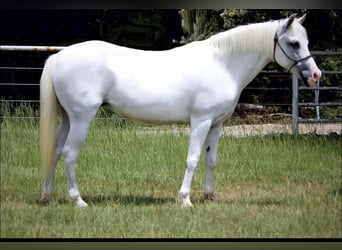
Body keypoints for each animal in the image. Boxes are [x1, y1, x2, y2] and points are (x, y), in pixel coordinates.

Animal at [40, 14, 320, 208]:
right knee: (69, 154)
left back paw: (49, 197)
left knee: (55, 151)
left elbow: (211, 160)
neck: (223, 64)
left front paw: (210, 196)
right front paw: (185, 199)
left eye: (306, 41)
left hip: (67, 119)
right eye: (294, 43)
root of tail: (59, 57)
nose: (316, 75)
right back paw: (78, 200)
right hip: (81, 118)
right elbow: (192, 159)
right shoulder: (201, 121)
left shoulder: (217, 124)